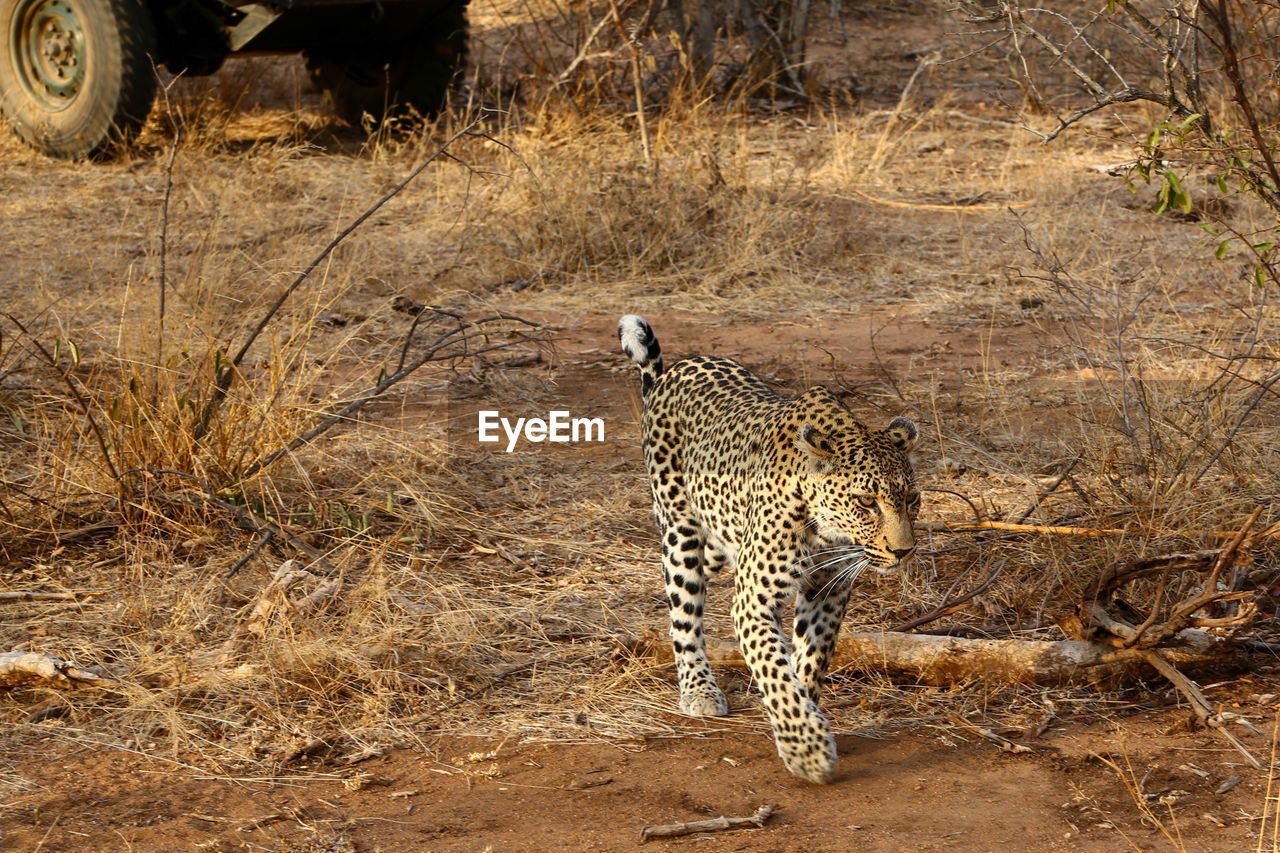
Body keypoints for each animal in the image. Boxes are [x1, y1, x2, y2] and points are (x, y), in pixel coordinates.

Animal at [619, 308, 921, 778]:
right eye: (866, 502)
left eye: (911, 499)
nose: (902, 551)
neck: (825, 529)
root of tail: (672, 371)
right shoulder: (753, 598)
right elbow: (773, 666)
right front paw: (807, 750)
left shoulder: (828, 591)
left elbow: (809, 660)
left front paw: (802, 714)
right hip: (680, 531)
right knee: (683, 612)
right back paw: (698, 689)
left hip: (718, 541)